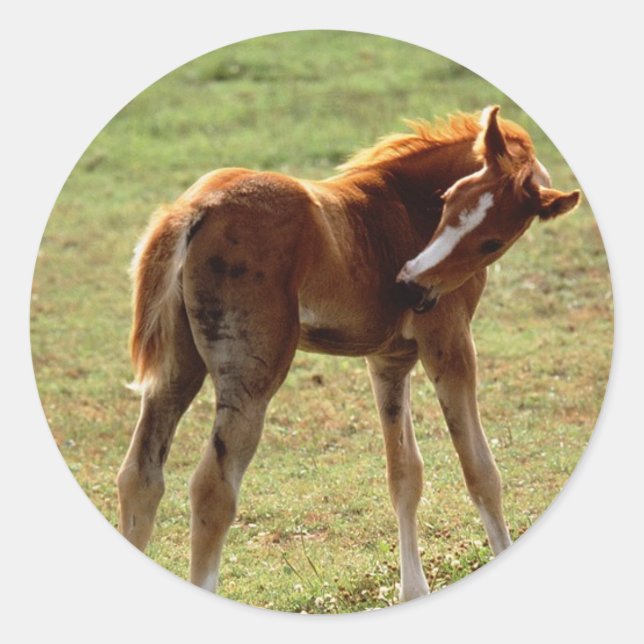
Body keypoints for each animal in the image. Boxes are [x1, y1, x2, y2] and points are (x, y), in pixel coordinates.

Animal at [116, 106, 580, 603]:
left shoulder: (389, 361)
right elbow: (480, 471)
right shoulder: (450, 344)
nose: (409, 285)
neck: (401, 203)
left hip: (177, 369)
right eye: (448, 199)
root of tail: (193, 209)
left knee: (141, 477)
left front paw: (412, 592)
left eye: (493, 241)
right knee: (212, 488)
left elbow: (404, 475)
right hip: (251, 376)